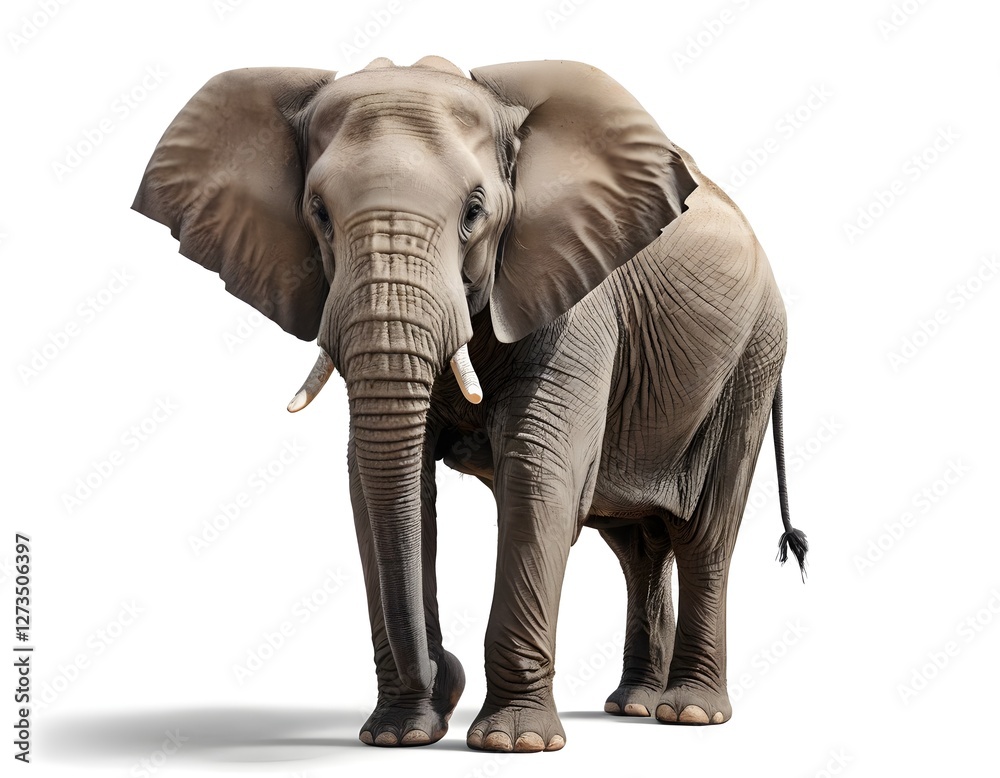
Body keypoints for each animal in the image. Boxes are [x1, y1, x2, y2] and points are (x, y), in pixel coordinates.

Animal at [132, 55, 807, 753]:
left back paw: (688, 712)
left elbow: (537, 473)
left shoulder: (576, 289)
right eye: (317, 212)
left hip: (754, 356)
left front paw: (513, 743)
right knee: (637, 547)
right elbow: (380, 486)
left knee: (703, 533)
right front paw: (399, 735)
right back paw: (632, 705)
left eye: (475, 210)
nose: (443, 672)